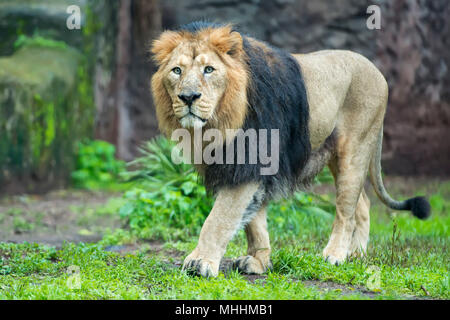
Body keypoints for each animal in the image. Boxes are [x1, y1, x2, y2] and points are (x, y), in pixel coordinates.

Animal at [149, 21, 430, 278]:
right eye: (176, 71)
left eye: (209, 69)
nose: (188, 97)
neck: (221, 122)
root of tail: (375, 69)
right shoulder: (249, 168)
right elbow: (254, 222)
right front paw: (259, 263)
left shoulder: (248, 161)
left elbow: (218, 219)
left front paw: (201, 262)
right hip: (336, 156)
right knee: (362, 204)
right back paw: (356, 255)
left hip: (356, 147)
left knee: (346, 211)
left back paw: (335, 256)